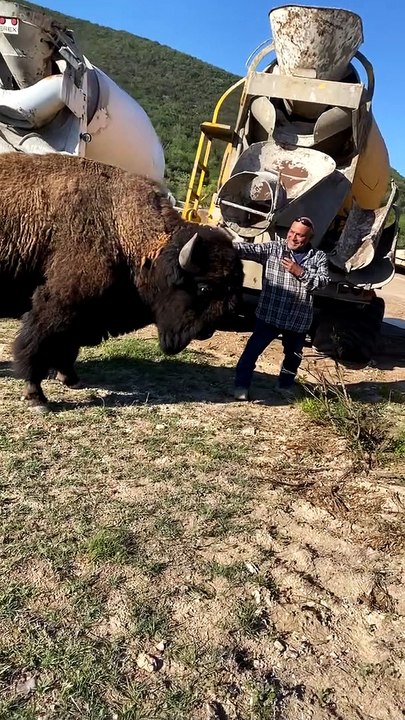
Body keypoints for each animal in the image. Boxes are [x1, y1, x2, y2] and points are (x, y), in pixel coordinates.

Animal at [0, 152, 243, 410]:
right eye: (204, 288)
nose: (207, 332)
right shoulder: (56, 305)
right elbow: (36, 346)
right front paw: (36, 396)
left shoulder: (82, 313)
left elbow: (68, 347)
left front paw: (71, 379)